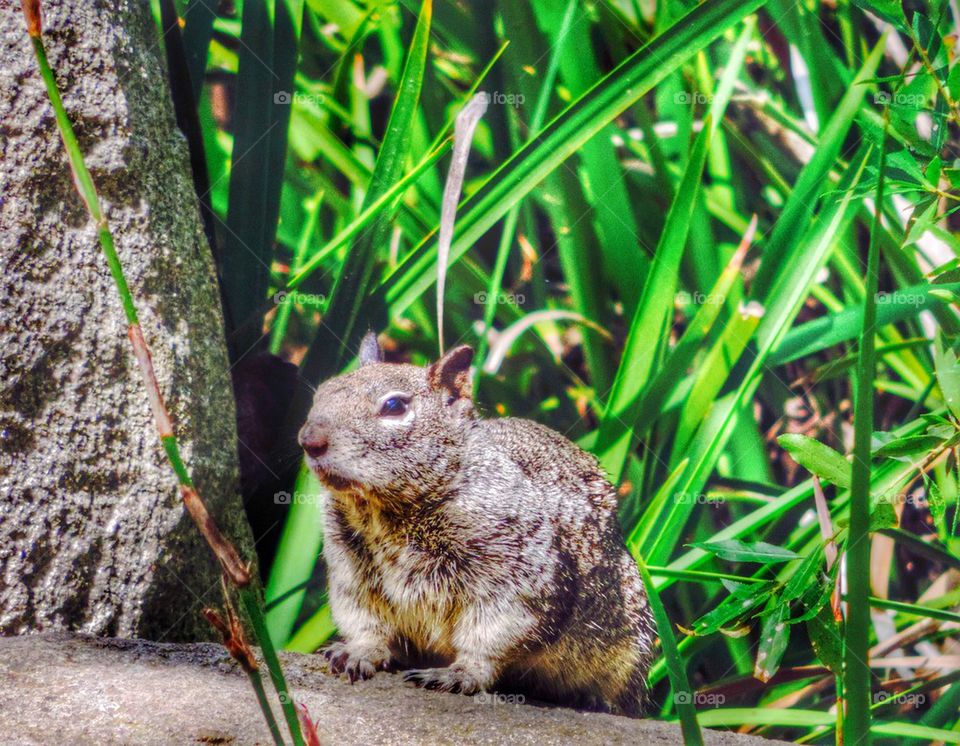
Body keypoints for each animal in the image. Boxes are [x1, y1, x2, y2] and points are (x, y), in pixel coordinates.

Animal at [298, 333, 656, 716]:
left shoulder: (515, 575)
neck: (383, 511)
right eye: (321, 393)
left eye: (394, 406)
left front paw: (459, 674)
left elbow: (490, 636)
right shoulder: (351, 572)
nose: (309, 441)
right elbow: (364, 621)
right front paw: (359, 651)